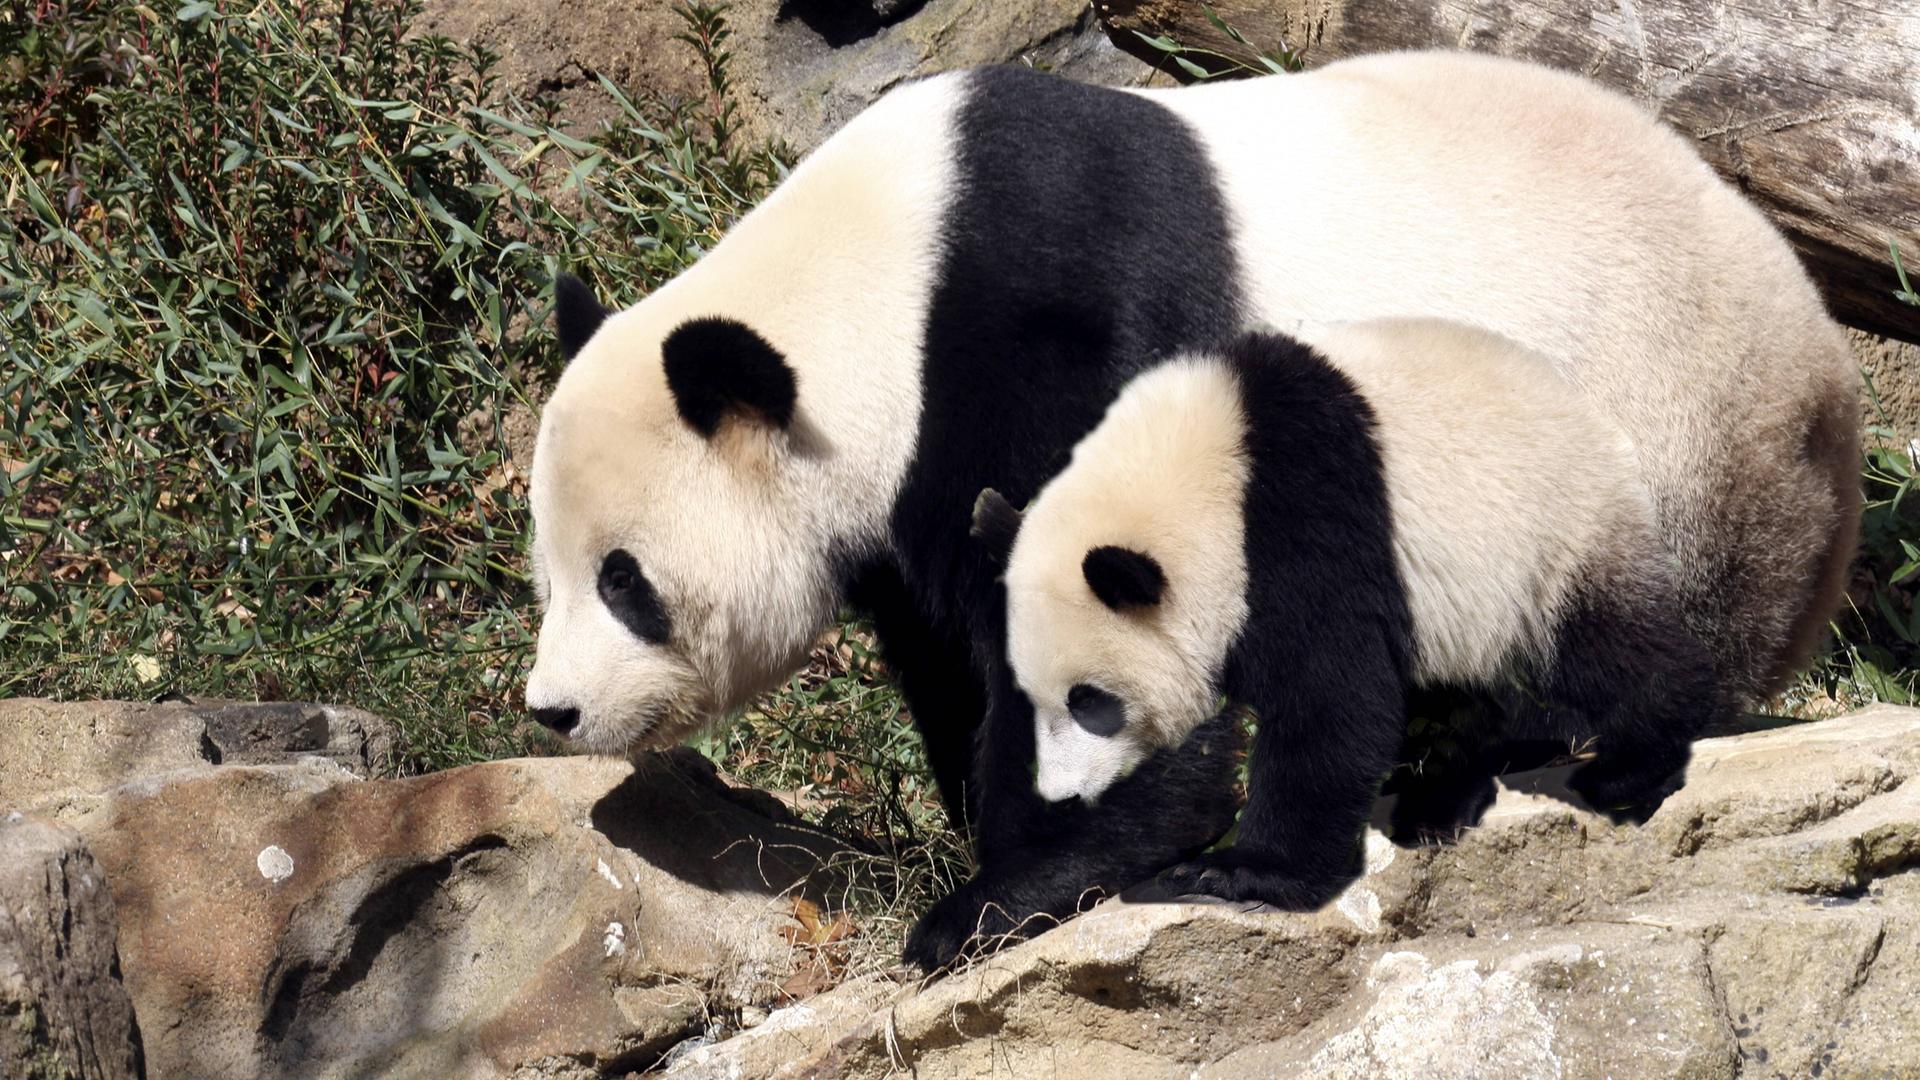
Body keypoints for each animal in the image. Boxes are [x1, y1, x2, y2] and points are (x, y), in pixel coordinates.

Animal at [970, 320, 1724, 906]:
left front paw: (1239, 872)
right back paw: (1438, 797)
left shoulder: (1303, 522)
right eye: (1036, 700)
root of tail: (1602, 425)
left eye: (1093, 702)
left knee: (1604, 645)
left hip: (1552, 537)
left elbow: (1331, 699)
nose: (1064, 798)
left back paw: (1628, 768)